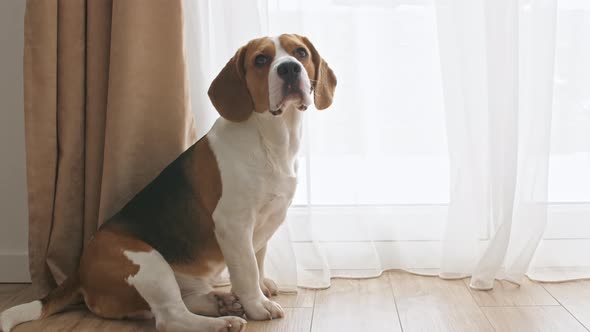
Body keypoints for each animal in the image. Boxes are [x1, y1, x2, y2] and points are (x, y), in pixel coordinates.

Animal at [1, 34, 338, 332]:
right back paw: (224, 321)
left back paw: (221, 303)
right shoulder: (233, 223)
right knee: (169, 317)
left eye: (300, 52)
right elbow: (246, 270)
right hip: (149, 264)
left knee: (180, 304)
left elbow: (259, 259)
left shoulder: (266, 221)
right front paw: (257, 304)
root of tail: (80, 271)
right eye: (261, 60)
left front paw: (259, 288)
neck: (270, 137)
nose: (289, 68)